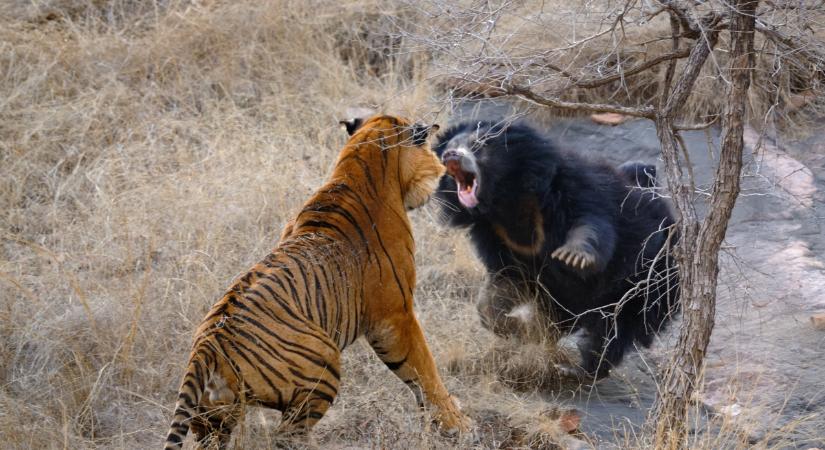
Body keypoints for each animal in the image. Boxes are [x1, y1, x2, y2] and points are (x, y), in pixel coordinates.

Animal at [164, 114, 470, 448]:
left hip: (213, 417)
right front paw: (457, 424)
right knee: (287, 436)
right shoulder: (395, 316)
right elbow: (424, 369)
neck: (358, 165)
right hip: (324, 364)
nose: (442, 171)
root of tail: (207, 346)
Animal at [434, 120, 680, 380]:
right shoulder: (496, 236)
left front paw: (573, 256)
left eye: (478, 145)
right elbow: (502, 285)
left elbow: (591, 224)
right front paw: (520, 329)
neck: (506, 201)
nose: (451, 156)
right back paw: (546, 334)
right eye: (448, 148)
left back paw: (580, 369)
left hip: (649, 281)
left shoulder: (574, 188)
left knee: (614, 330)